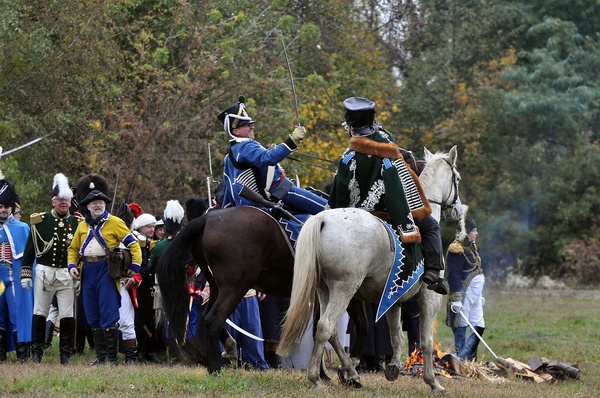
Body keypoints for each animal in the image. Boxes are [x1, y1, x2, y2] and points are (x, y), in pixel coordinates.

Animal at [155, 207, 368, 378]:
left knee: (206, 315)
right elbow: (359, 325)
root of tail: (208, 218)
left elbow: (321, 330)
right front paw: (349, 369)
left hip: (217, 287)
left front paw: (324, 374)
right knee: (213, 319)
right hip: (234, 288)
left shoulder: (321, 298)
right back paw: (216, 367)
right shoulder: (348, 292)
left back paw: (227, 351)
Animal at [278, 146, 462, 392]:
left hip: (325, 289)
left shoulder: (394, 298)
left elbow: (396, 335)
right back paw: (318, 378)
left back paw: (350, 372)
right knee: (326, 326)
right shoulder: (429, 299)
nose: (459, 211)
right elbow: (426, 341)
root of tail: (322, 219)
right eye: (457, 178)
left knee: (329, 331)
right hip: (345, 289)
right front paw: (433, 382)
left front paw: (393, 368)